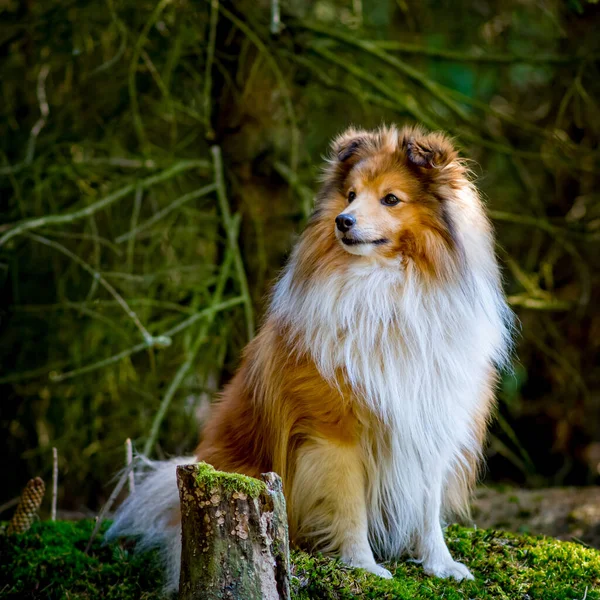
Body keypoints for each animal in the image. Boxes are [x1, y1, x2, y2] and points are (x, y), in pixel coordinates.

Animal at [106, 125, 510, 592]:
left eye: (391, 198)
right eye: (351, 194)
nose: (343, 221)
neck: (384, 289)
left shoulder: (431, 419)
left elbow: (428, 507)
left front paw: (440, 564)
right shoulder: (334, 432)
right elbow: (348, 505)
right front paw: (364, 566)